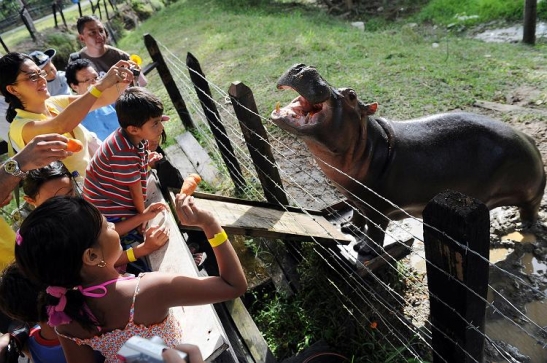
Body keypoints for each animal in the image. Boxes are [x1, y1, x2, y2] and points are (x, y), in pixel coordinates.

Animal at [272, 64, 544, 260]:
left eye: (351, 94)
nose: (304, 66)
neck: (369, 146)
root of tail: (530, 139)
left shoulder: (377, 205)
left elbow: (376, 229)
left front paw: (365, 249)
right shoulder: (354, 198)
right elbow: (358, 216)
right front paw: (349, 228)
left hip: (525, 196)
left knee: (530, 209)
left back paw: (527, 228)